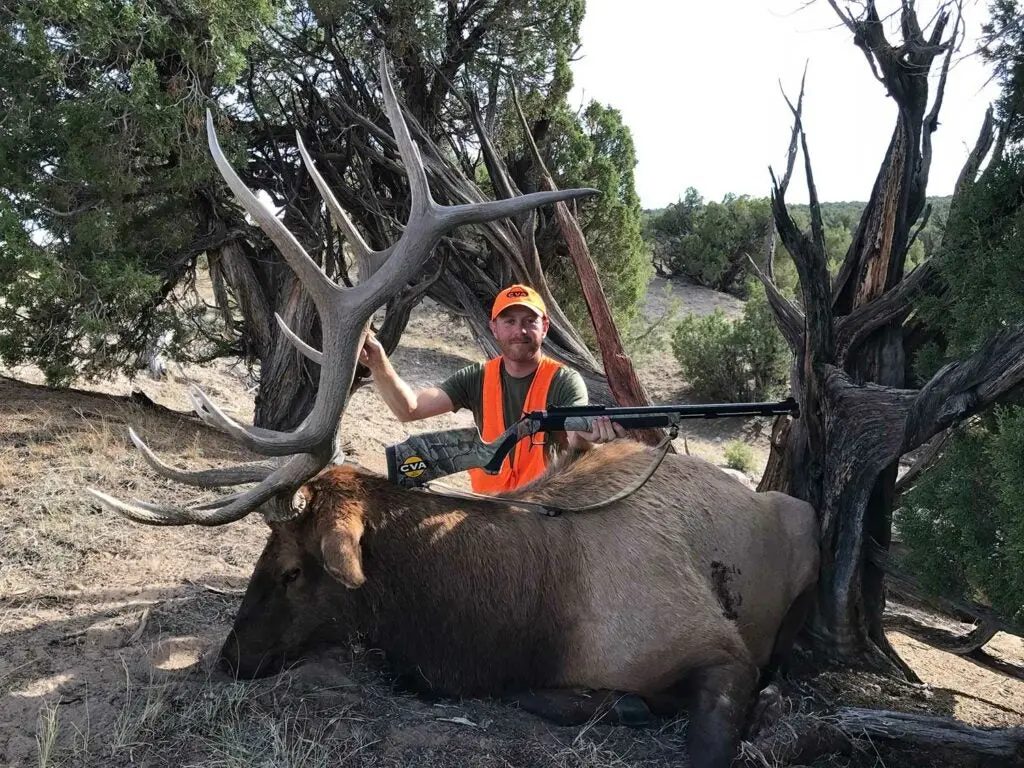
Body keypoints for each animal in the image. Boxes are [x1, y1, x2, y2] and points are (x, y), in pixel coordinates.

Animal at [90, 54, 823, 768]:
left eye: (294, 568)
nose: (229, 657)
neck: (515, 621)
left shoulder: (718, 649)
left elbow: (704, 729)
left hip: (806, 533)